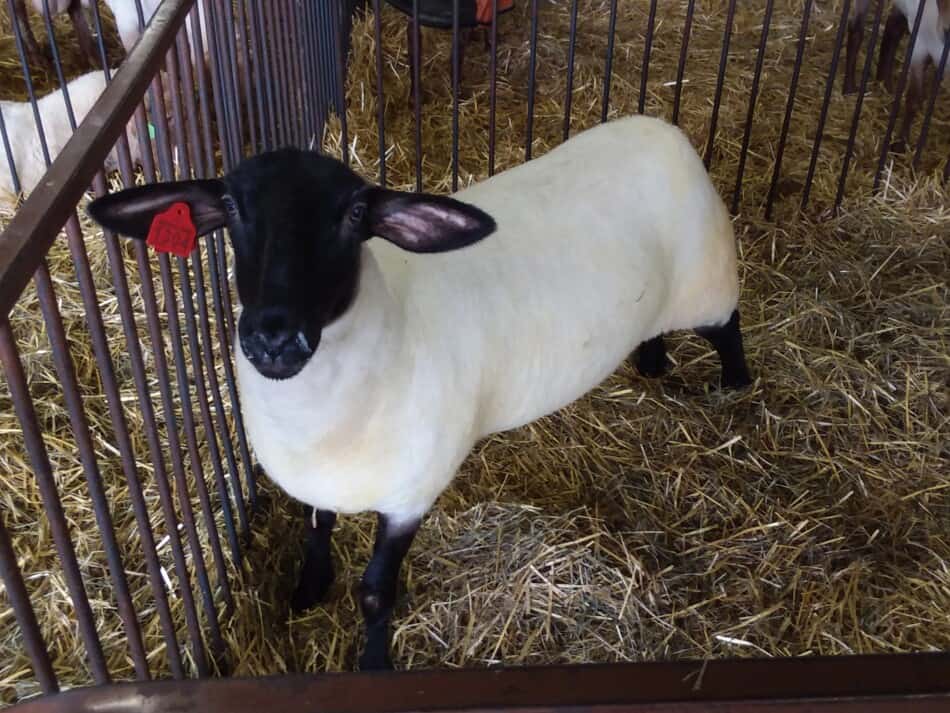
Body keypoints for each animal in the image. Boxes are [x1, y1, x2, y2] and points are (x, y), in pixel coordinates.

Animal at [87, 114, 760, 672]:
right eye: (229, 204)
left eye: (356, 214)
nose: (273, 336)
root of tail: (664, 128)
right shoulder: (323, 476)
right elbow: (317, 525)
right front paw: (309, 586)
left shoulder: (410, 493)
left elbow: (374, 593)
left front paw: (373, 665)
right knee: (655, 332)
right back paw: (650, 363)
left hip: (709, 280)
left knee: (729, 331)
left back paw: (734, 387)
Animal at [848, 0, 950, 150]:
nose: (946, 30)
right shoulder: (919, 46)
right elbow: (913, 99)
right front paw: (900, 145)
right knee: (856, 28)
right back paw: (849, 88)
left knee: (892, 28)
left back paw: (884, 84)